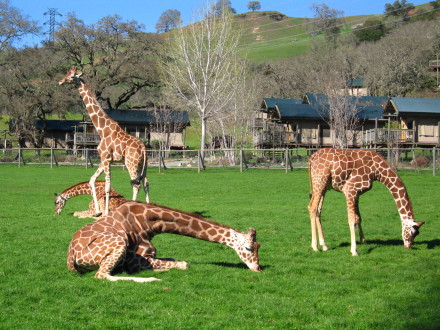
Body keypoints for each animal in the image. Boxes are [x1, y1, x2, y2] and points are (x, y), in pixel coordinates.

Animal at [58, 67, 150, 217]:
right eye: (67, 73)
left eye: (72, 76)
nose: (61, 81)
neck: (102, 129)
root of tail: (143, 147)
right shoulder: (104, 159)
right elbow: (92, 180)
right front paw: (97, 211)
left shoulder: (106, 158)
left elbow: (107, 187)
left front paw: (105, 212)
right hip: (143, 165)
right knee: (146, 182)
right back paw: (149, 206)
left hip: (131, 163)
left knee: (135, 184)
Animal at [68, 200, 262, 282]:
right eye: (248, 247)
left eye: (259, 246)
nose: (258, 268)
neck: (148, 223)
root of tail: (71, 257)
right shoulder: (136, 260)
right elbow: (184, 263)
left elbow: (173, 260)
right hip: (118, 243)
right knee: (102, 275)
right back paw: (153, 279)